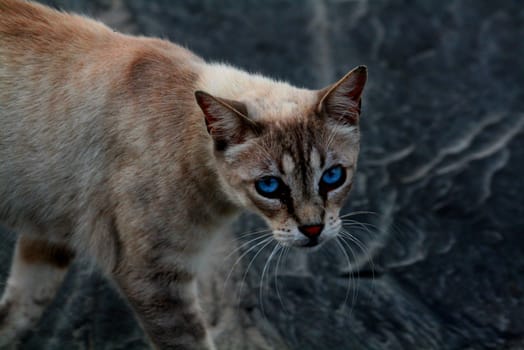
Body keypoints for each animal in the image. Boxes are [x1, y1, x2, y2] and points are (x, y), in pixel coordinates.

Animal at [0, 0, 368, 348]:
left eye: (333, 177)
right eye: (269, 186)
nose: (313, 230)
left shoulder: (49, 237)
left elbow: (18, 311)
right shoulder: (154, 279)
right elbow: (194, 342)